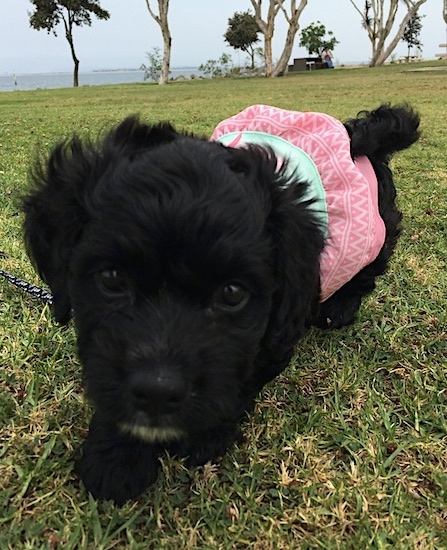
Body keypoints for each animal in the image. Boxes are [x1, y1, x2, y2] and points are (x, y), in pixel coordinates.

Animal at [22, 103, 422, 504]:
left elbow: (243, 377)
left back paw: (339, 307)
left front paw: (203, 436)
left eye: (232, 294)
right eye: (111, 278)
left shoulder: (275, 332)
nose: (157, 390)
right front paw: (115, 457)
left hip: (376, 229)